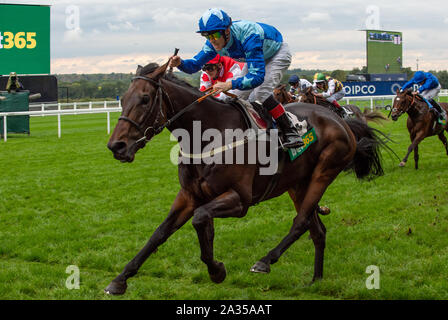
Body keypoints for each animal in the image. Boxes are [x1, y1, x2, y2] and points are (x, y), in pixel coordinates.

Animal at [105, 60, 384, 296]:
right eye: (123, 99)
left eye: (145, 99)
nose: (116, 146)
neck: (208, 135)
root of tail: (341, 121)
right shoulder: (188, 196)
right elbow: (160, 233)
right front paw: (120, 280)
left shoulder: (240, 200)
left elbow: (200, 218)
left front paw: (216, 270)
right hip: (297, 184)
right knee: (317, 230)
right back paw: (316, 281)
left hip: (323, 172)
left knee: (301, 222)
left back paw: (265, 261)